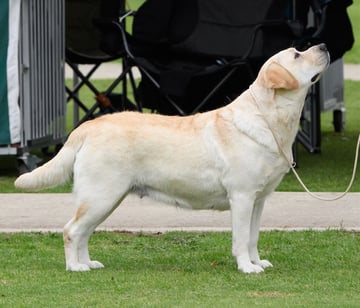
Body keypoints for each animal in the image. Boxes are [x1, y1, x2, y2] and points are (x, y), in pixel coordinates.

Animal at [14, 44, 330, 274]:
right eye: (297, 55)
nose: (324, 45)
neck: (270, 119)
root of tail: (87, 126)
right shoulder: (241, 197)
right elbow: (240, 239)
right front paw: (246, 268)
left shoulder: (258, 199)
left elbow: (252, 237)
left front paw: (257, 261)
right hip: (101, 195)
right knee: (71, 230)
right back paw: (74, 267)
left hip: (105, 199)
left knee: (83, 232)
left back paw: (87, 263)